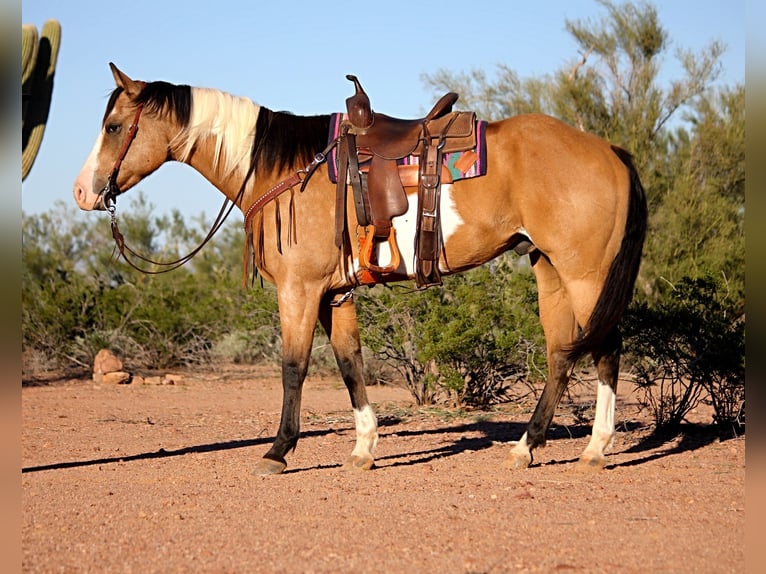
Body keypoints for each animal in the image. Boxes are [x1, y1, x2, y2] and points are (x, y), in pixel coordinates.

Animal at [74, 64, 647, 475]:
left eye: (114, 126)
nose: (82, 192)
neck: (286, 169)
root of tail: (611, 150)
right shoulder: (335, 294)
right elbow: (350, 364)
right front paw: (364, 449)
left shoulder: (299, 290)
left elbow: (294, 366)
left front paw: (278, 451)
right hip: (548, 270)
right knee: (560, 356)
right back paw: (527, 447)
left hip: (585, 275)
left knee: (605, 351)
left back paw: (594, 450)